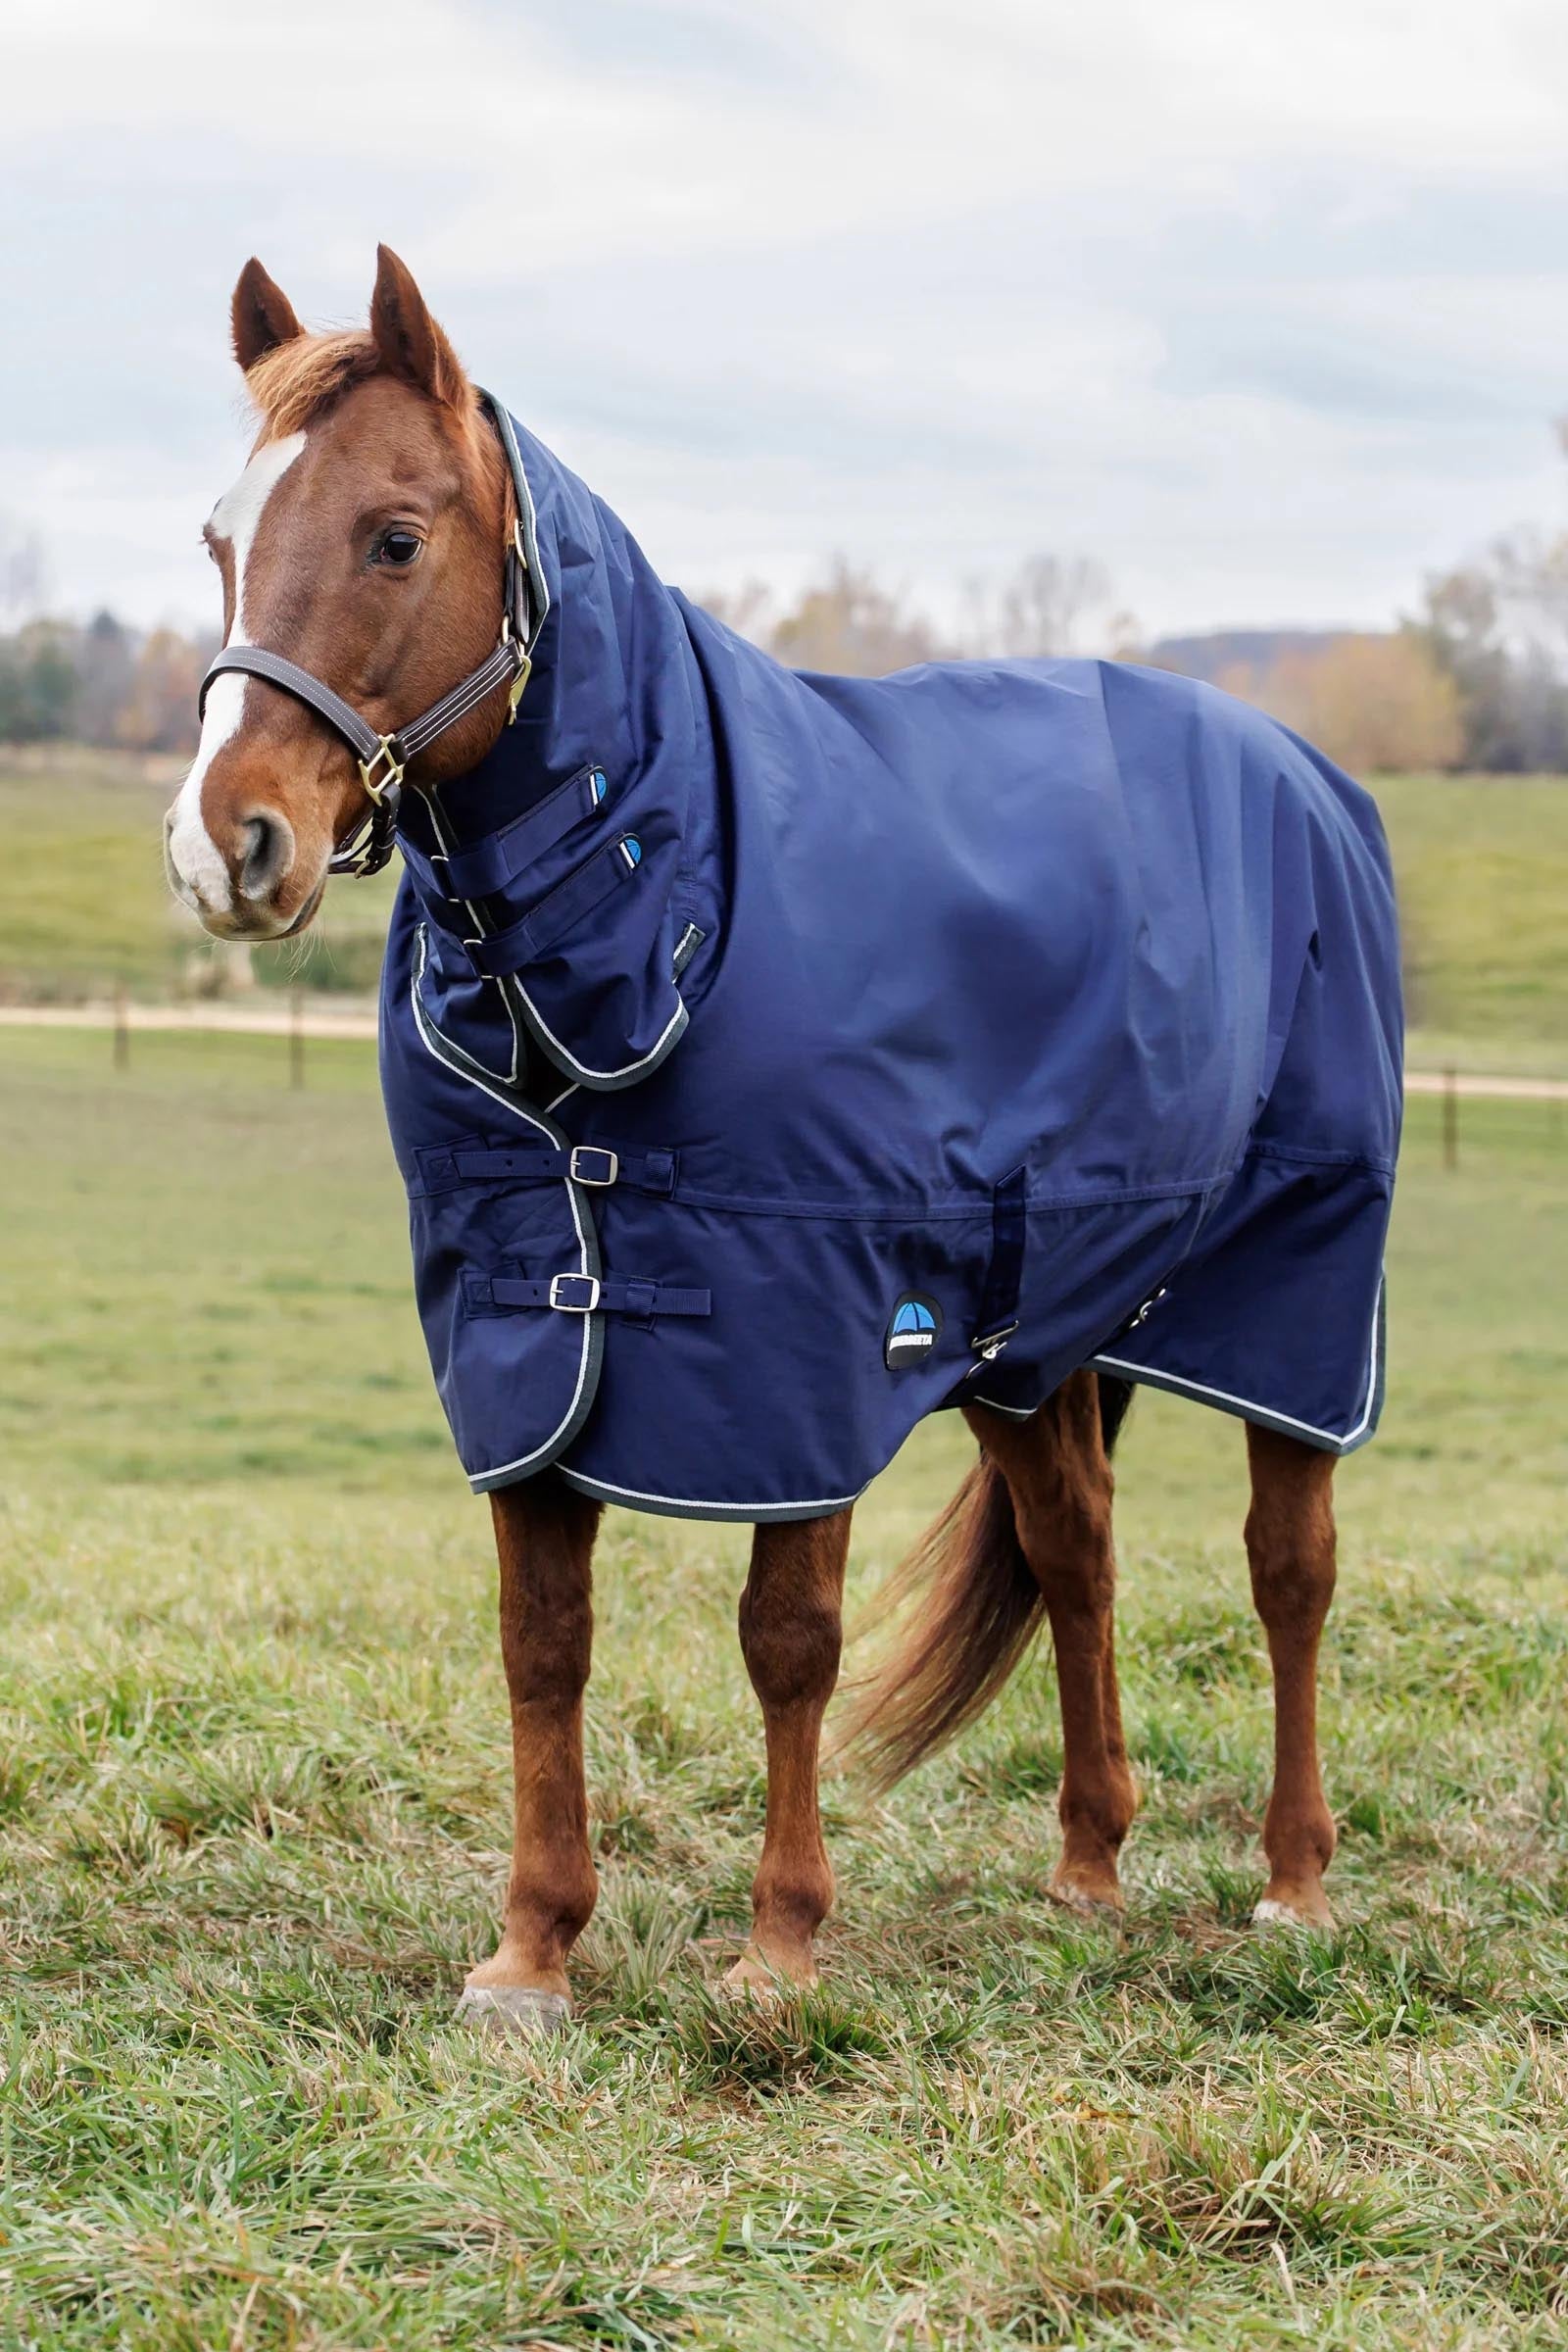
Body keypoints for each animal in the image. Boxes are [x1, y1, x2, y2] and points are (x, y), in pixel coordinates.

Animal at [165, 246, 1401, 2032]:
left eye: (394, 535)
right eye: (219, 541)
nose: (225, 848)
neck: (663, 901)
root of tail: (1310, 781)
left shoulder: (803, 1338)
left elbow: (788, 1639)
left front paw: (779, 1945)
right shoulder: (531, 1339)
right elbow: (543, 1638)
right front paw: (532, 1951)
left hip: (1294, 1287)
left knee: (1289, 1565)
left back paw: (1295, 1881)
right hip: (1029, 1337)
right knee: (1078, 1551)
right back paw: (1088, 1865)